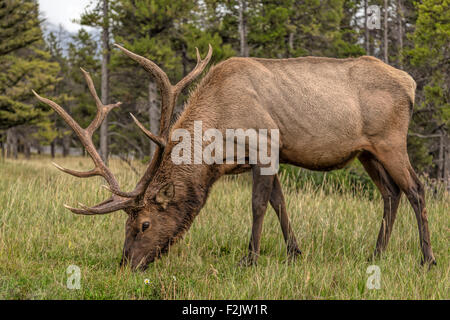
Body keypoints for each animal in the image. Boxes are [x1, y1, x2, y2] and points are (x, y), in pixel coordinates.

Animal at [34, 44, 436, 270]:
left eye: (144, 225)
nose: (125, 264)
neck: (218, 149)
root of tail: (411, 84)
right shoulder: (268, 156)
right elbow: (279, 202)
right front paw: (294, 253)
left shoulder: (265, 144)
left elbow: (258, 204)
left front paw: (250, 258)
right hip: (367, 152)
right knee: (391, 193)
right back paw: (376, 253)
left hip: (391, 141)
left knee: (416, 189)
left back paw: (427, 259)